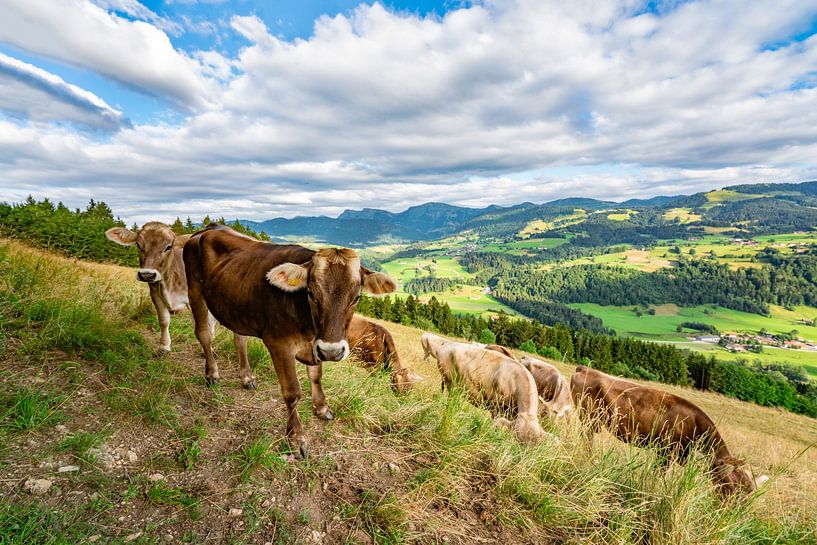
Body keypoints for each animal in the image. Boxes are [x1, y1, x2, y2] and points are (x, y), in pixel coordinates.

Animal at [105, 222, 252, 384]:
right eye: (138, 245)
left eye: (168, 247)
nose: (147, 274)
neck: (169, 282)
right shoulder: (155, 293)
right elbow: (164, 321)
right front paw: (164, 347)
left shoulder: (191, 298)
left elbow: (200, 325)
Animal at [184, 224, 396, 458]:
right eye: (311, 293)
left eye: (356, 297)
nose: (332, 352)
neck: (308, 327)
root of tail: (210, 227)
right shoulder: (279, 344)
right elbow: (292, 393)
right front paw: (296, 438)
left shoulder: (316, 345)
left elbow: (316, 376)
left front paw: (322, 408)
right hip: (194, 289)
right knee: (204, 334)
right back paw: (212, 374)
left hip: (235, 304)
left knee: (239, 338)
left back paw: (247, 378)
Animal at [570, 365, 768, 495]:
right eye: (732, 486)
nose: (730, 512)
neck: (694, 424)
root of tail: (583, 368)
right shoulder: (667, 452)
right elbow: (659, 474)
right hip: (588, 418)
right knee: (586, 440)